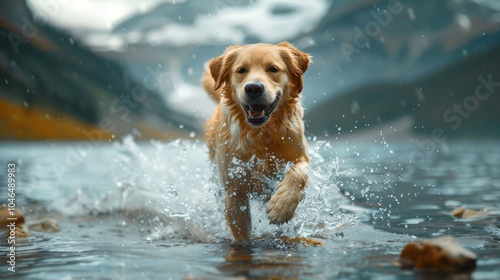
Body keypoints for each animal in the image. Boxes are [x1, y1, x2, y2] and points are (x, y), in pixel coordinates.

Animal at [201, 41, 310, 241]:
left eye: (273, 69)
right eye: (241, 70)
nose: (253, 88)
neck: (261, 134)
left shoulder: (301, 153)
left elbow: (298, 172)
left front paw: (282, 206)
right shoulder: (234, 192)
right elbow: (242, 233)